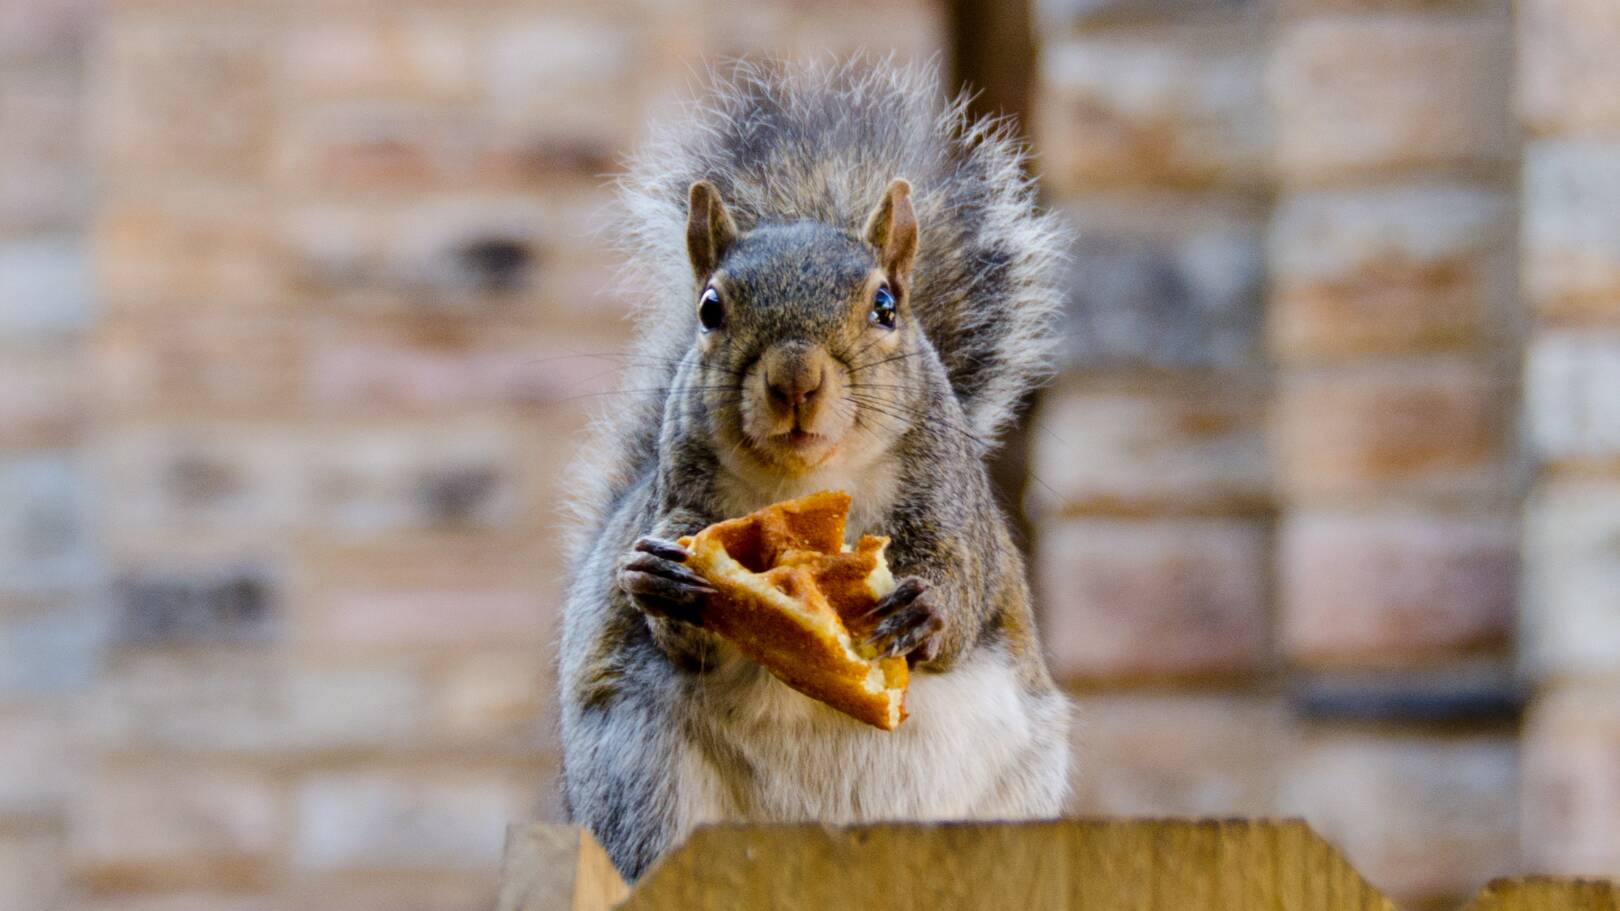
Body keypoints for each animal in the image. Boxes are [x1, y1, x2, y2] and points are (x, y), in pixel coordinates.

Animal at [558, 58, 1072, 881]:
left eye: (887, 305)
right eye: (709, 309)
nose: (795, 378)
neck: (803, 482)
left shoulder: (957, 517)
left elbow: (962, 598)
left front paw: (924, 611)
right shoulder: (680, 502)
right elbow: (683, 631)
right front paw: (660, 580)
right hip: (639, 779)